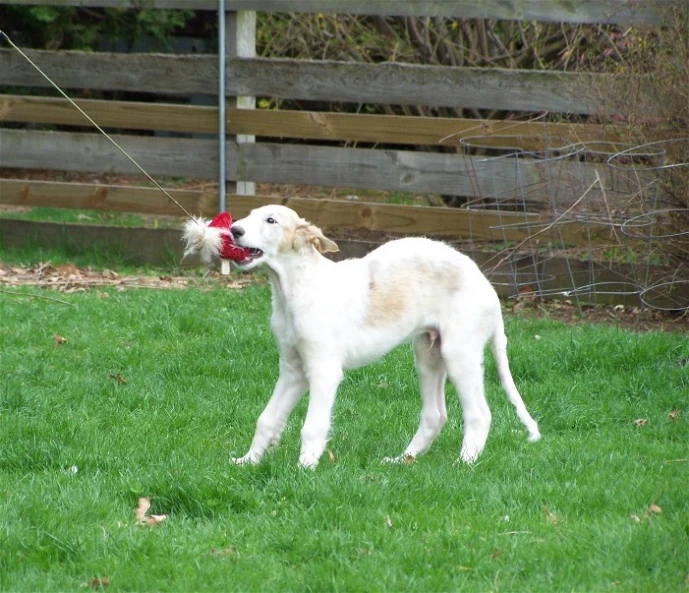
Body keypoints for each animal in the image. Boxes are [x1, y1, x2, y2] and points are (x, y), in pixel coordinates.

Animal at [226, 204, 536, 468]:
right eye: (250, 214)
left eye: (271, 220)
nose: (233, 230)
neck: (297, 288)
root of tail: (489, 290)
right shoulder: (293, 370)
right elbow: (267, 419)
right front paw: (248, 461)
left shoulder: (323, 370)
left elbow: (312, 426)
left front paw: (305, 469)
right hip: (428, 354)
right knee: (435, 415)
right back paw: (403, 460)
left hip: (459, 354)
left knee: (479, 414)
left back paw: (465, 464)